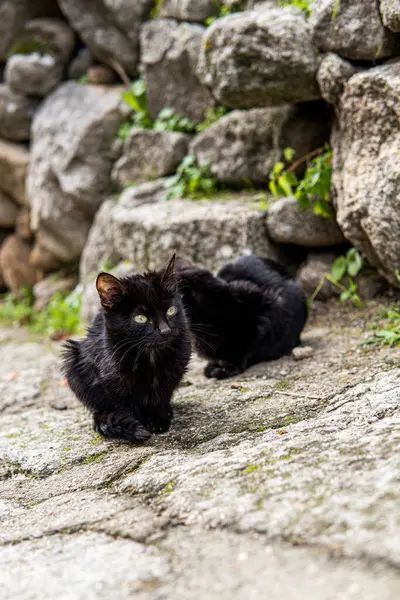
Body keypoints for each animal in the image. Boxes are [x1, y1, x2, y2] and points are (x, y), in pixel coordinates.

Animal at [62, 255, 192, 442]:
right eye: (140, 318)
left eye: (171, 310)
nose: (166, 331)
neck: (151, 356)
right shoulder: (111, 382)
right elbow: (124, 406)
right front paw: (138, 426)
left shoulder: (175, 369)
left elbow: (163, 395)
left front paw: (159, 421)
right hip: (72, 360)